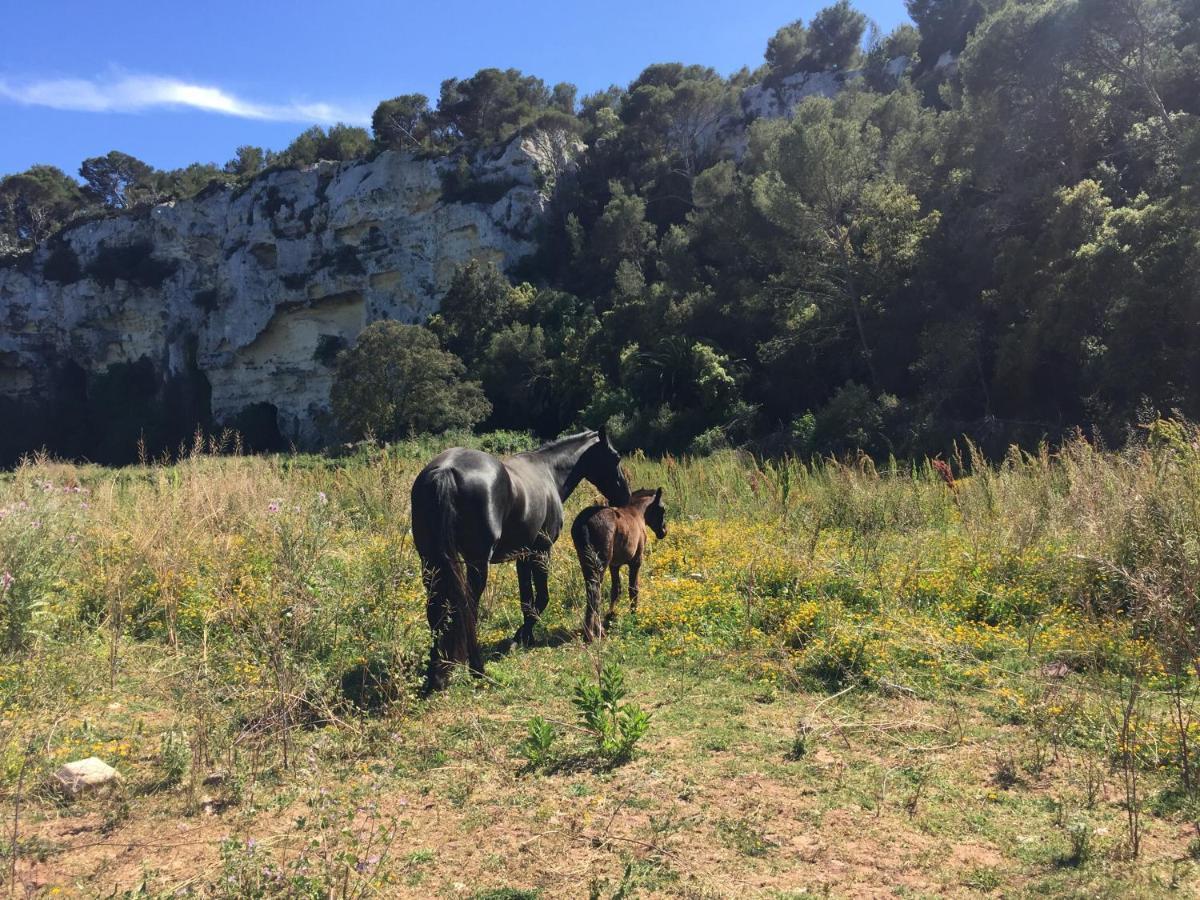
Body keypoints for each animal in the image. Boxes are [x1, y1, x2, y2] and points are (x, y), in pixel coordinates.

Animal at [412, 429, 633, 691]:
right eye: (616, 457)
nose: (626, 496)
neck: (548, 471)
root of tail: (445, 470)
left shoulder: (522, 556)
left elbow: (527, 600)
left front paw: (525, 637)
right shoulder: (541, 551)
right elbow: (542, 598)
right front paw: (521, 636)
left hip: (431, 562)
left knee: (435, 610)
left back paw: (436, 673)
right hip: (476, 564)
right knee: (468, 608)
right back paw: (477, 669)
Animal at [571, 489, 667, 643]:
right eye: (662, 509)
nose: (664, 532)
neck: (637, 513)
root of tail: (585, 523)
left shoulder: (614, 566)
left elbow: (616, 590)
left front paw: (611, 615)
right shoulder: (636, 562)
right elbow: (633, 589)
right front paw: (634, 614)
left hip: (586, 562)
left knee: (591, 591)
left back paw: (592, 631)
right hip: (600, 564)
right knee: (595, 592)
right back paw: (594, 633)